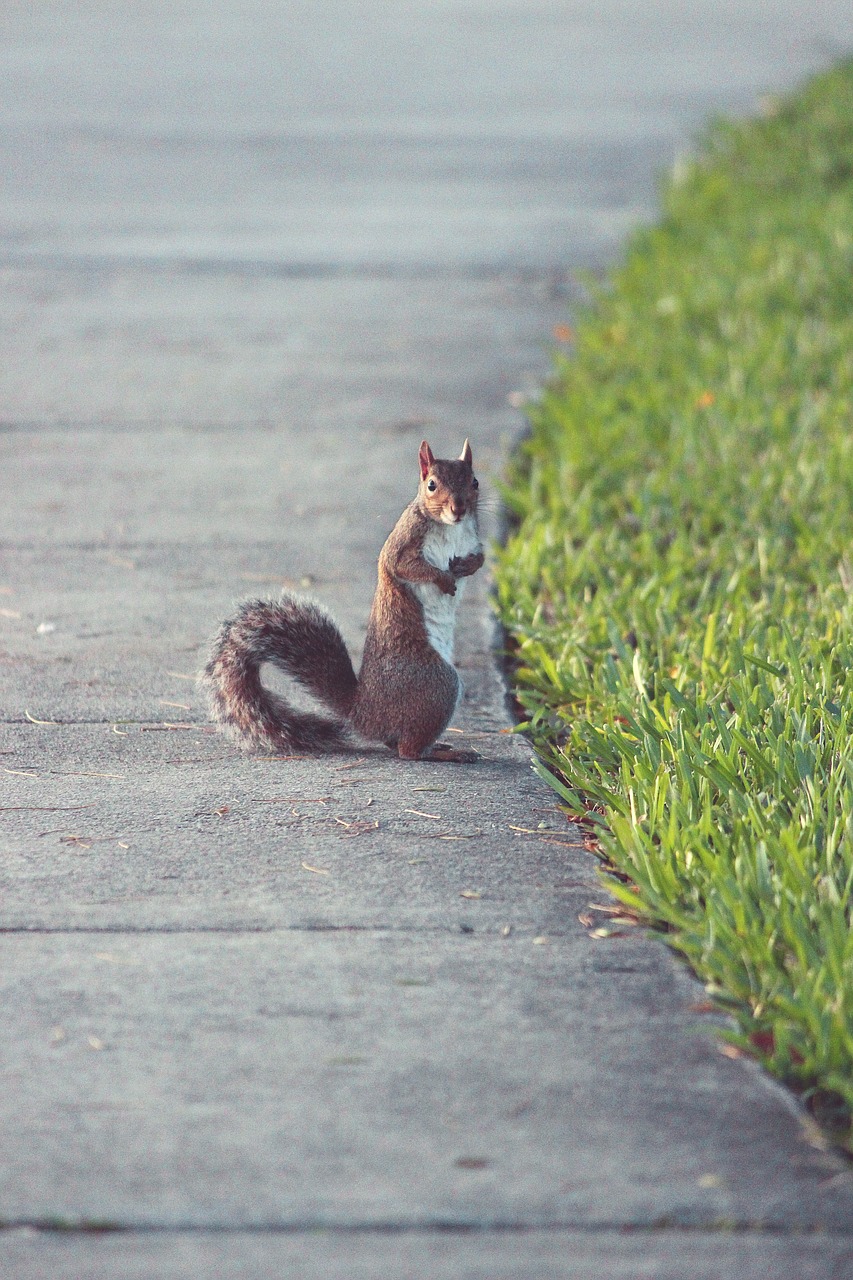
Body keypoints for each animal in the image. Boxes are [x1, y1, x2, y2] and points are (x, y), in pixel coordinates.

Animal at [195, 440, 481, 757]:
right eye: (431, 485)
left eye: (475, 482)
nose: (459, 508)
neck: (451, 528)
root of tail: (365, 713)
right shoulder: (403, 542)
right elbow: (404, 566)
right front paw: (443, 578)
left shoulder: (473, 539)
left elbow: (480, 558)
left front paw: (468, 566)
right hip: (437, 684)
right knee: (407, 750)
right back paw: (447, 753)